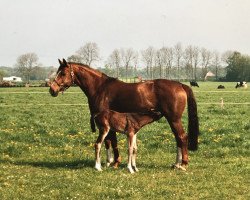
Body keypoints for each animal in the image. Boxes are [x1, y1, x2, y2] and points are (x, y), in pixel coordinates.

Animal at [49, 58, 199, 170]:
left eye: (63, 73)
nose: (52, 90)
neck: (100, 88)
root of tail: (180, 85)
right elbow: (108, 142)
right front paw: (109, 161)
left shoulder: (108, 121)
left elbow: (112, 141)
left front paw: (114, 162)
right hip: (171, 119)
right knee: (178, 138)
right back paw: (176, 163)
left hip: (174, 119)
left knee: (182, 137)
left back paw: (183, 164)